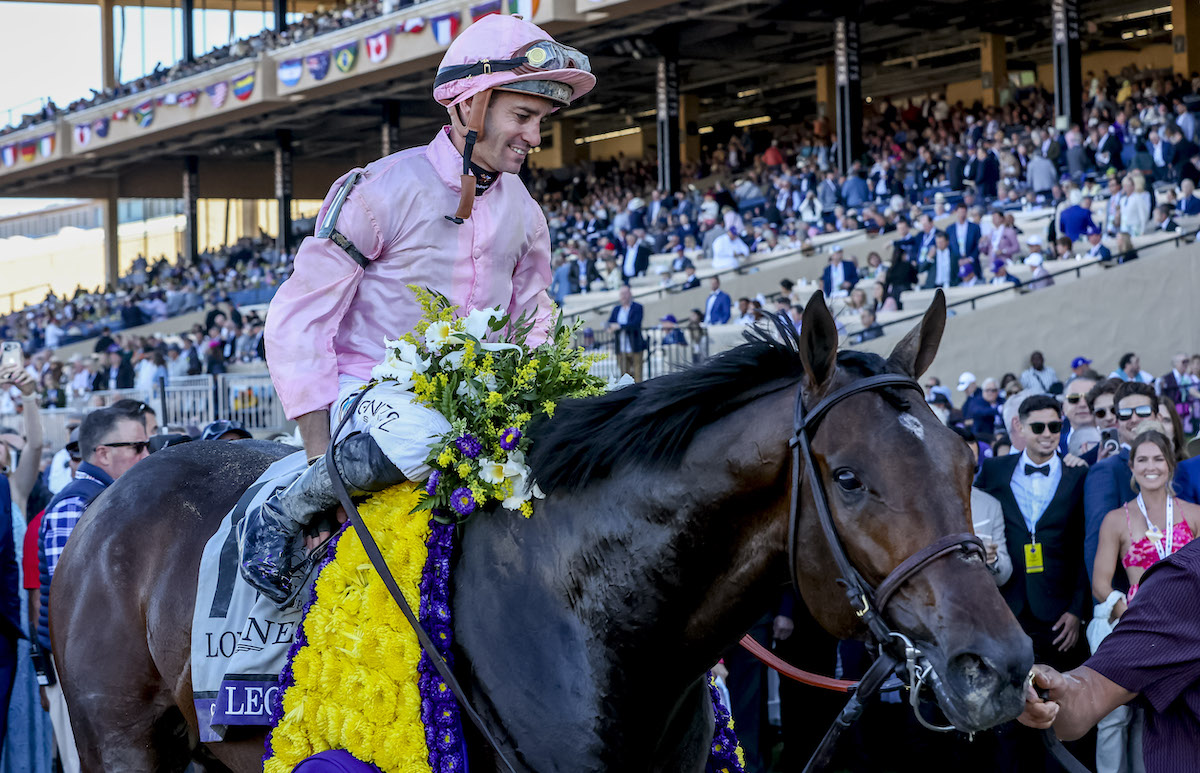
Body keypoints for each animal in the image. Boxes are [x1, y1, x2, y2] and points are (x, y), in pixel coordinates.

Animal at [51, 291, 1032, 773]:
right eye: (852, 477)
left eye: (964, 462)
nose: (1000, 665)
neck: (591, 613)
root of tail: (106, 501)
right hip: (120, 742)